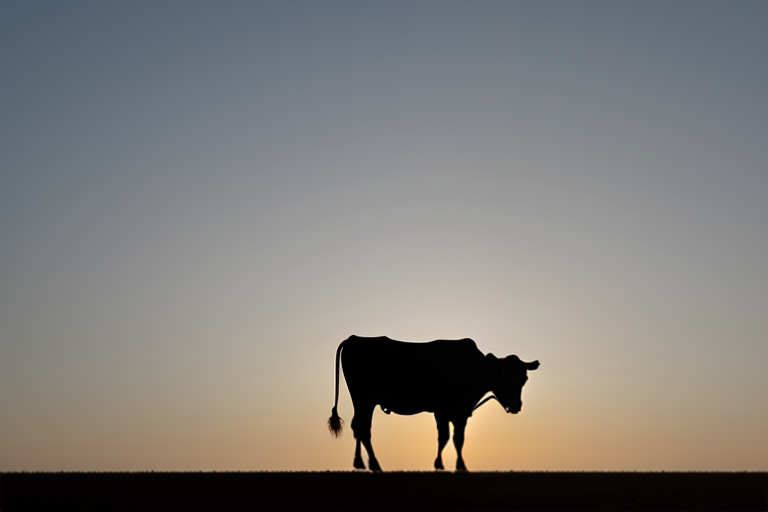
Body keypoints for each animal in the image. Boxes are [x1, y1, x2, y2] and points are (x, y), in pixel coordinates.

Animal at [328, 335, 539, 471]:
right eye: (502, 374)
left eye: (524, 378)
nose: (516, 406)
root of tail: (354, 338)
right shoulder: (442, 410)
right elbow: (444, 437)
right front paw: (441, 464)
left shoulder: (461, 412)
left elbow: (458, 438)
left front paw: (459, 466)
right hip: (365, 401)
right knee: (363, 429)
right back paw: (375, 464)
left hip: (361, 403)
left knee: (357, 427)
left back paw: (359, 463)